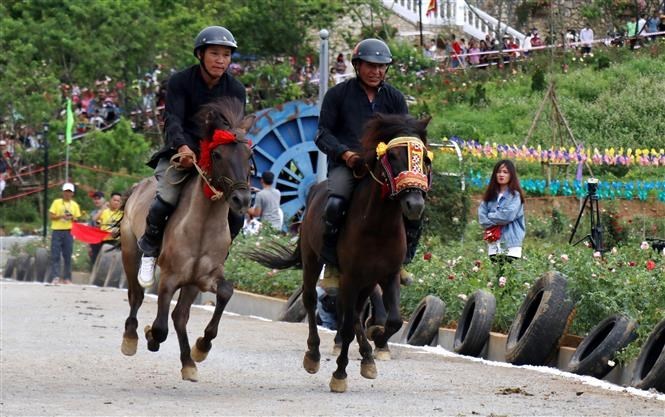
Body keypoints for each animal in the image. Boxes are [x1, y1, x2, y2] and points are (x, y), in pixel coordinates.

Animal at [119, 98, 254, 380]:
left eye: (249, 156)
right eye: (217, 154)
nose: (242, 200)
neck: (202, 225)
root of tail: (138, 186)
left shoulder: (203, 277)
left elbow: (225, 291)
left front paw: (201, 347)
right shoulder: (170, 278)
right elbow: (160, 326)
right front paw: (150, 336)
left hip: (191, 282)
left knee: (180, 315)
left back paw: (188, 361)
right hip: (129, 251)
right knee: (136, 295)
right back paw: (131, 337)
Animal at [248, 112, 430, 392]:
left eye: (426, 159)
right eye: (393, 156)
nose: (414, 204)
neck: (378, 227)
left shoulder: (387, 275)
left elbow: (394, 320)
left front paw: (377, 340)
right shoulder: (351, 276)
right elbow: (346, 326)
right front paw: (340, 373)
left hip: (364, 280)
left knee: (354, 313)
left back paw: (367, 354)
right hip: (313, 260)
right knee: (312, 300)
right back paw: (314, 354)